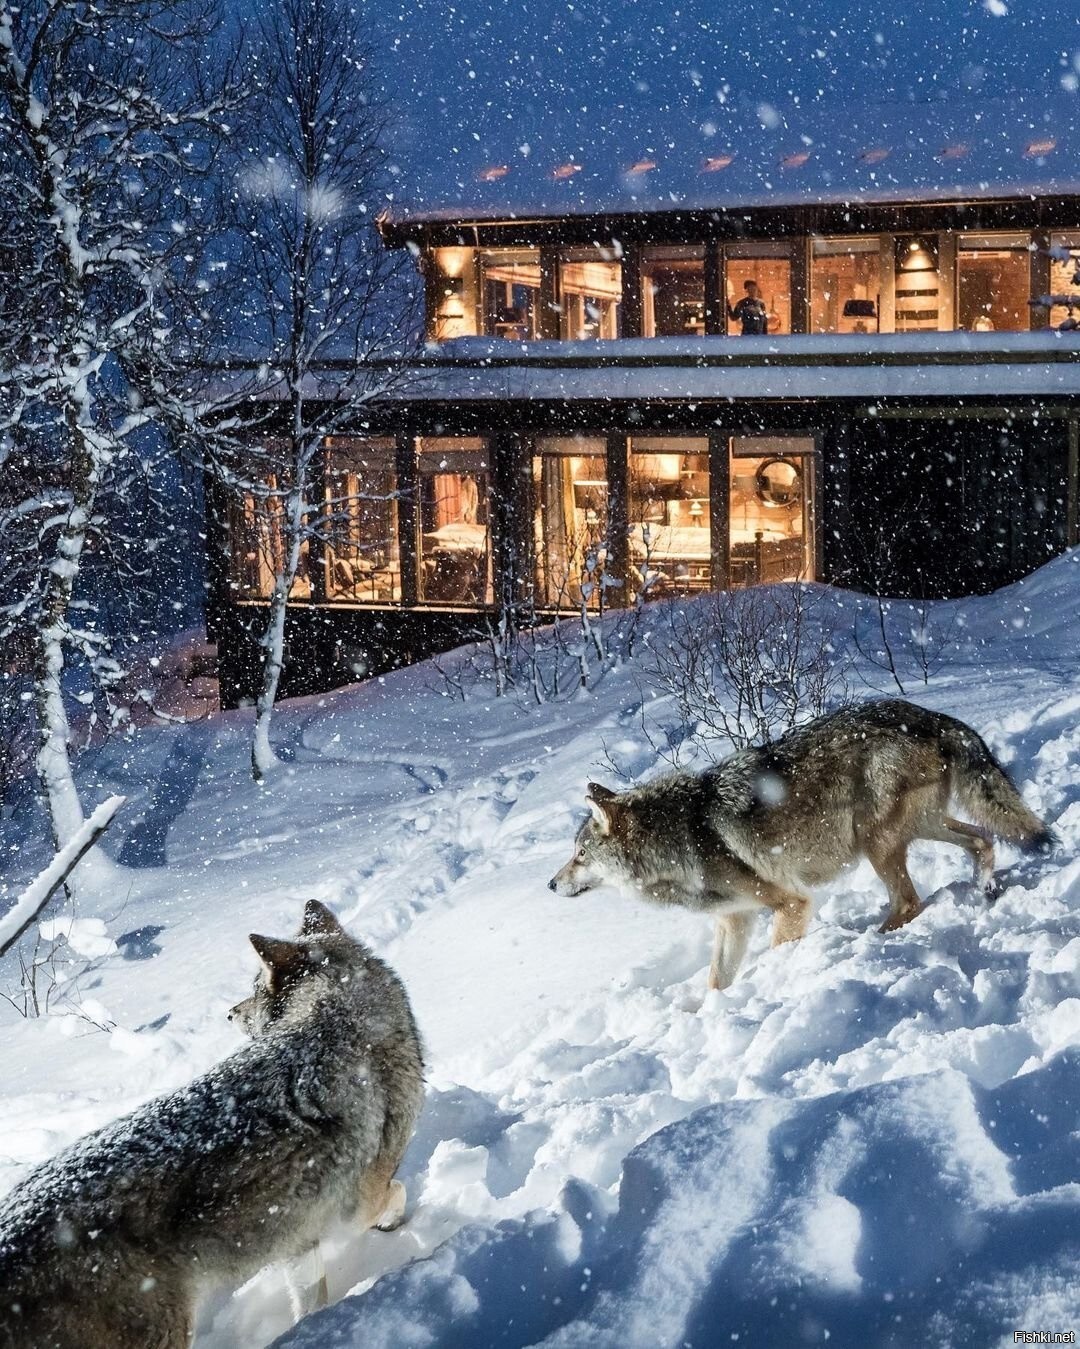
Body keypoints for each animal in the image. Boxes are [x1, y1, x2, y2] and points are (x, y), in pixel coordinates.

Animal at [0, 900, 424, 1349]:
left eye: (254, 988)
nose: (229, 1013)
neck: (339, 1021)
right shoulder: (359, 1207)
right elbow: (398, 1190)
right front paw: (396, 1227)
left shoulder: (296, 1240)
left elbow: (309, 1300)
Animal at [550, 699, 1052, 993]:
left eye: (580, 855)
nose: (551, 885)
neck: (681, 836)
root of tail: (932, 717)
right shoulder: (734, 920)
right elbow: (715, 982)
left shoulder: (790, 903)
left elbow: (776, 949)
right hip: (918, 828)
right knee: (983, 840)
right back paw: (984, 890)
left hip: (876, 843)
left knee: (910, 901)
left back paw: (872, 939)